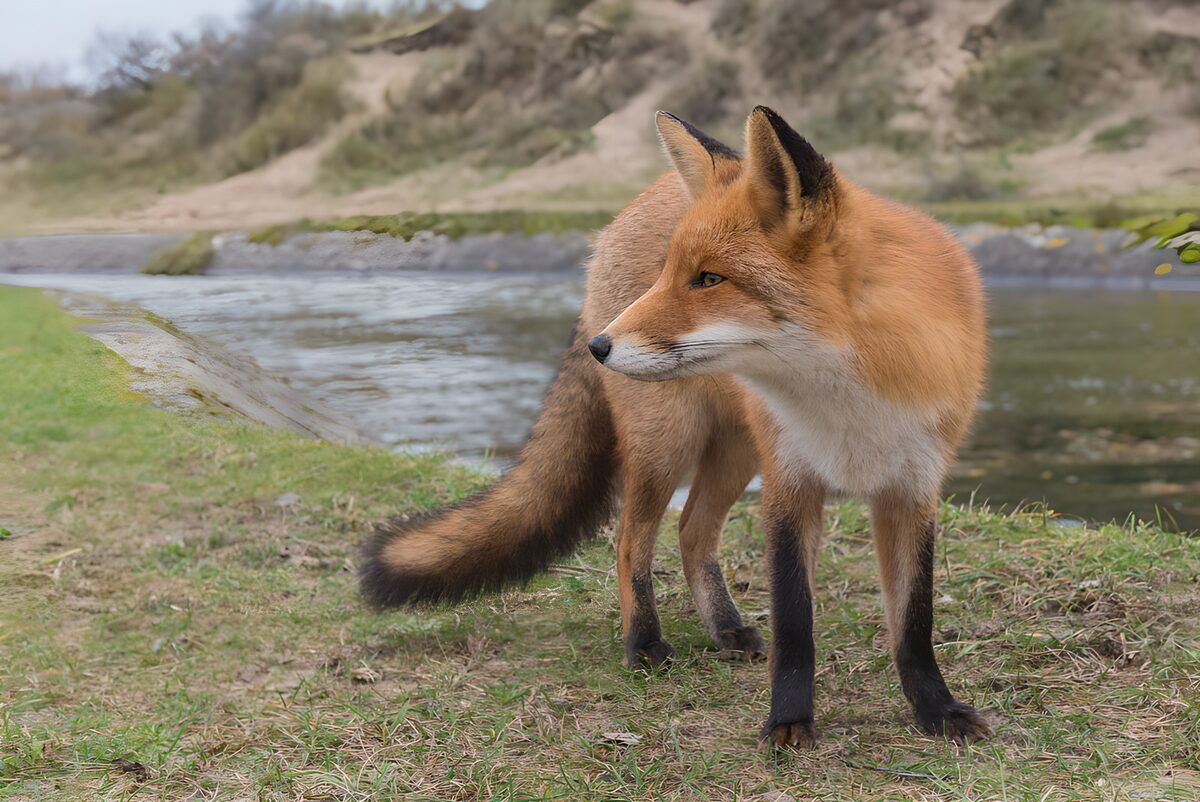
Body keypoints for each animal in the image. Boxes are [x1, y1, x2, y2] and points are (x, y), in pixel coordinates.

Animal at [360, 106, 990, 748]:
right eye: (671, 272)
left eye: (709, 279)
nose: (599, 347)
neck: (849, 397)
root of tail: (636, 201)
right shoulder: (790, 484)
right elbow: (794, 623)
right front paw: (788, 720)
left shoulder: (911, 489)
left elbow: (913, 621)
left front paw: (936, 710)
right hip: (669, 443)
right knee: (630, 540)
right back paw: (643, 642)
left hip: (735, 451)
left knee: (692, 531)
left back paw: (725, 628)